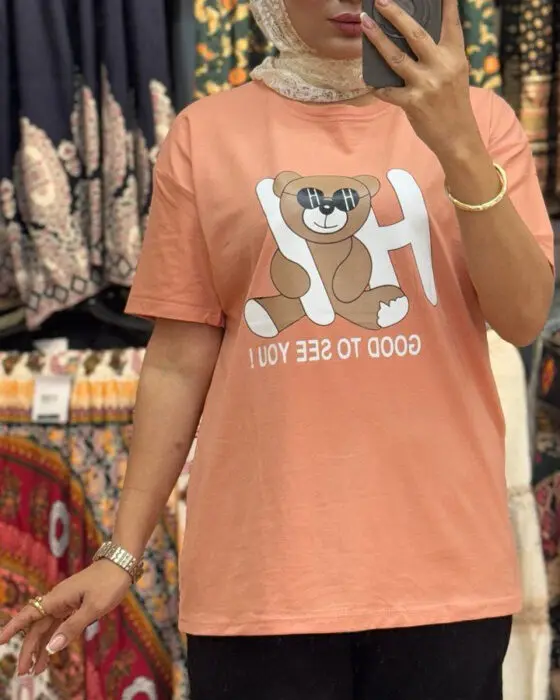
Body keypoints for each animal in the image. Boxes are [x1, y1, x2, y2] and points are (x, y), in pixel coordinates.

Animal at [244, 171, 409, 339]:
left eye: (349, 197)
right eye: (309, 195)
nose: (327, 206)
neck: (325, 245)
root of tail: (337, 310)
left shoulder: (356, 249)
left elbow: (359, 262)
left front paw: (344, 288)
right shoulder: (284, 256)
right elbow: (283, 263)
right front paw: (303, 282)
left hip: (360, 308)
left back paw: (390, 305)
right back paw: (259, 311)